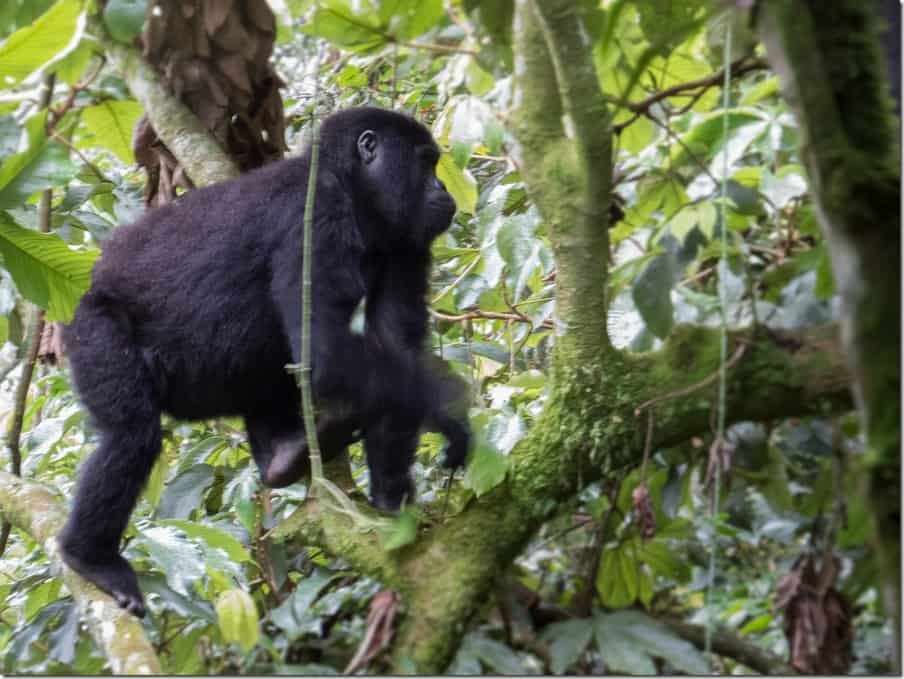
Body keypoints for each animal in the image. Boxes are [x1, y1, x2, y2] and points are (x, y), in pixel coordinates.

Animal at [59, 106, 474, 616]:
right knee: (130, 435)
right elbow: (328, 352)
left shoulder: (405, 244)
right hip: (90, 327)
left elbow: (394, 352)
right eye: (425, 163)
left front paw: (392, 493)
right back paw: (89, 556)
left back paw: (285, 456)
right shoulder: (316, 217)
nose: (444, 191)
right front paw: (448, 407)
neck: (350, 184)